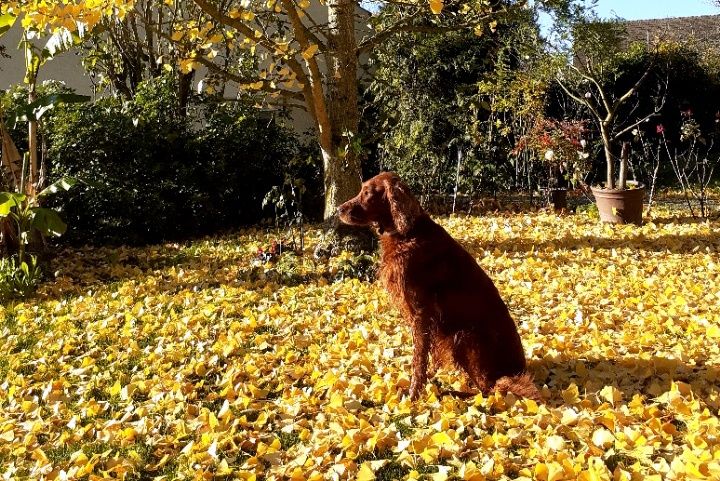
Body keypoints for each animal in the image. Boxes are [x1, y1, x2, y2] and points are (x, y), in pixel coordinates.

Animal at [334, 171, 536, 400]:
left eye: (367, 193)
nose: (338, 209)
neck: (408, 233)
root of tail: (520, 369)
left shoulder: (421, 311)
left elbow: (419, 356)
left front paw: (414, 394)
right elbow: (428, 353)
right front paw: (428, 380)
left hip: (465, 336)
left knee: (490, 390)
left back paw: (453, 392)